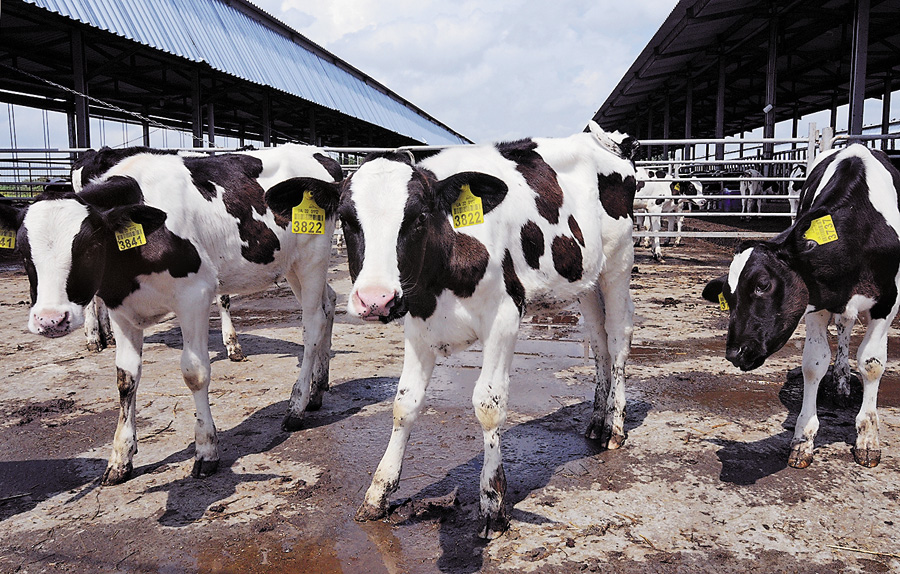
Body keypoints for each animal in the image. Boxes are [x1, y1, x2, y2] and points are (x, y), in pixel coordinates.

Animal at [0, 144, 342, 486]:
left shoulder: (195, 295)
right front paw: (120, 457)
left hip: (312, 258)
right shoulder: (121, 308)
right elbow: (126, 377)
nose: (50, 320)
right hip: (291, 265)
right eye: (23, 252)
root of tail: (317, 153)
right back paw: (317, 389)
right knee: (328, 303)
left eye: (89, 247)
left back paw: (296, 406)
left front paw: (206, 451)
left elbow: (195, 373)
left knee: (312, 325)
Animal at [268, 122, 640, 540]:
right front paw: (379, 491)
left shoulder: (504, 317)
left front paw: (493, 503)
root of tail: (605, 141)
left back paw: (615, 427)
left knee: (618, 335)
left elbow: (488, 405)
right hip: (587, 278)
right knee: (598, 340)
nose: (375, 299)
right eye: (347, 220)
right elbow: (404, 404)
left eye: (418, 216)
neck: (445, 264)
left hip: (618, 263)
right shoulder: (417, 322)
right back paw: (597, 420)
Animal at [704, 145, 900, 472]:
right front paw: (803, 439)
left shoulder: (888, 301)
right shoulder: (816, 299)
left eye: (762, 284)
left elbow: (872, 363)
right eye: (728, 297)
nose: (734, 353)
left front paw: (868, 438)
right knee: (843, 328)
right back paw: (841, 380)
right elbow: (814, 363)